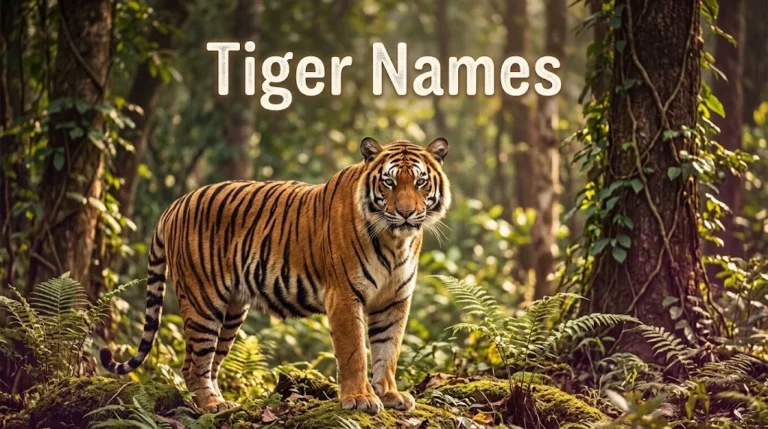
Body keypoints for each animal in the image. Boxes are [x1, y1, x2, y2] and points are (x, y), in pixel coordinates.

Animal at [100, 137, 450, 413]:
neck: (395, 240)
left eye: (420, 182)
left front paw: (390, 394)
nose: (405, 213)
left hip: (231, 311)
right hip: (203, 302)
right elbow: (354, 353)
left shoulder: (394, 299)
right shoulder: (344, 297)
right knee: (193, 364)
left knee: (211, 362)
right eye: (388, 183)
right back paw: (212, 405)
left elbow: (387, 350)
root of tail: (176, 204)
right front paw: (360, 398)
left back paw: (222, 402)